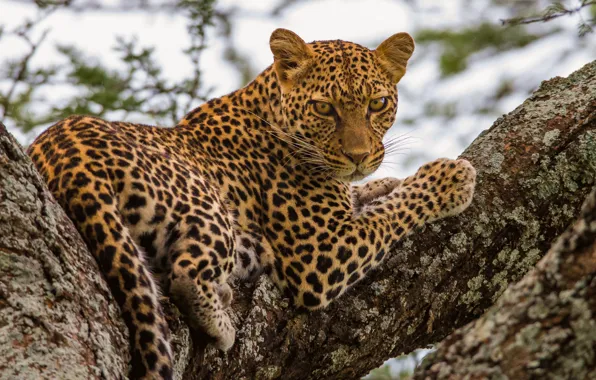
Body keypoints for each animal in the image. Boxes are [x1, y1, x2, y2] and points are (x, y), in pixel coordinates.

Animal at [26, 28, 474, 378]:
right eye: (324, 108)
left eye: (377, 104)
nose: (359, 156)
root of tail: (67, 156)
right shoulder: (322, 251)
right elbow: (393, 212)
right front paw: (449, 178)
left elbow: (368, 196)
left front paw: (384, 181)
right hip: (207, 205)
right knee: (185, 274)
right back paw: (220, 319)